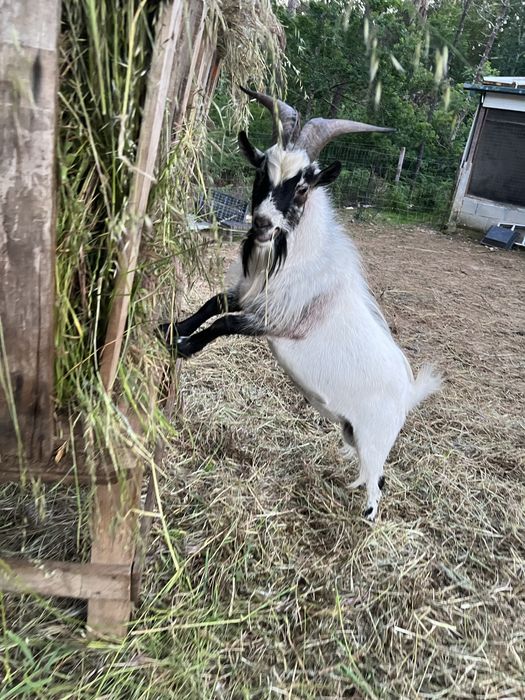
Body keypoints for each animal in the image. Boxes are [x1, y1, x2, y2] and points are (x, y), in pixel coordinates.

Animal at [161, 87, 441, 520]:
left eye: (304, 186)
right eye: (262, 171)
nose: (262, 222)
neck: (302, 257)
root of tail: (409, 393)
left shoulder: (273, 320)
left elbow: (224, 324)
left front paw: (183, 346)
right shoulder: (248, 293)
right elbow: (213, 304)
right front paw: (171, 328)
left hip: (376, 439)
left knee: (377, 482)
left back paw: (366, 519)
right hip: (352, 431)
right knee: (373, 474)